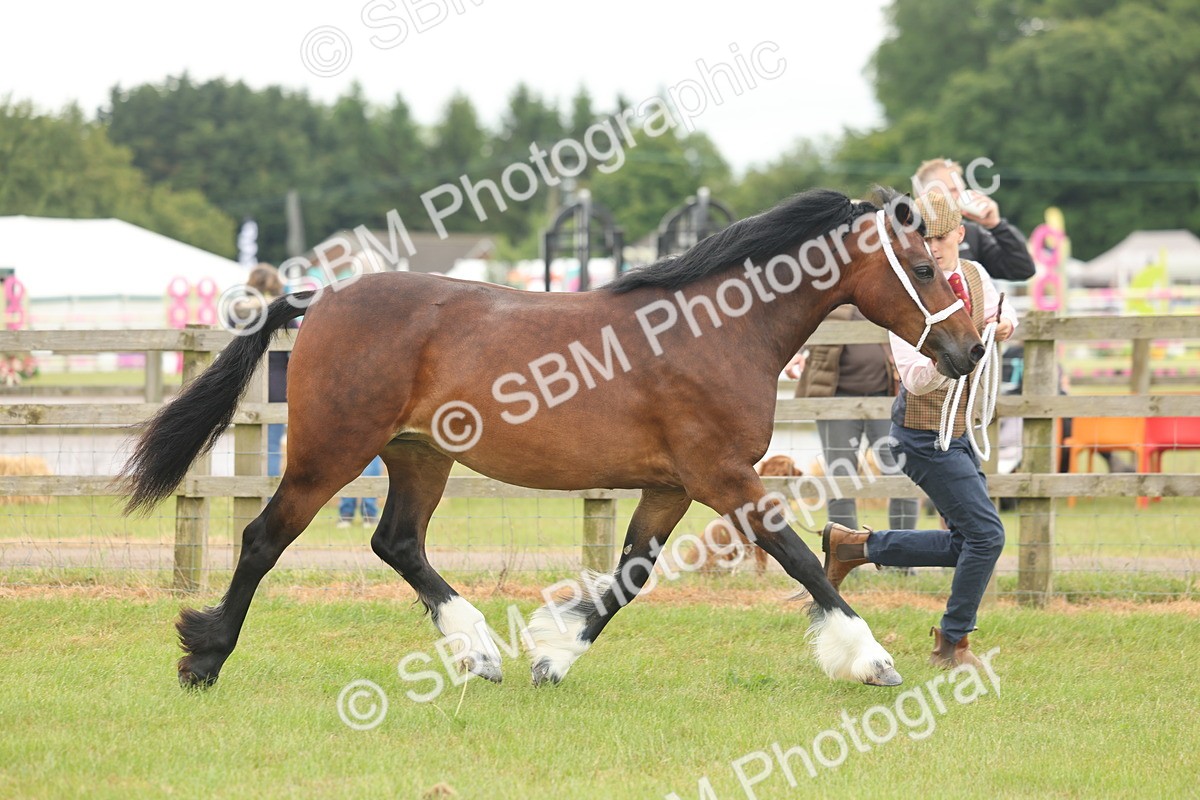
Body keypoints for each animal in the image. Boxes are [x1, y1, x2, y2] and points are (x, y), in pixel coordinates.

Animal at [120, 186, 984, 690]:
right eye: (922, 267)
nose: (970, 351)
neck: (720, 329)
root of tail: (320, 298)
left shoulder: (672, 484)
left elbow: (630, 575)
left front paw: (551, 653)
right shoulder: (724, 476)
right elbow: (801, 559)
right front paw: (871, 659)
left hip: (420, 455)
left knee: (397, 543)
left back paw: (478, 652)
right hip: (330, 451)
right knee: (264, 538)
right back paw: (204, 656)